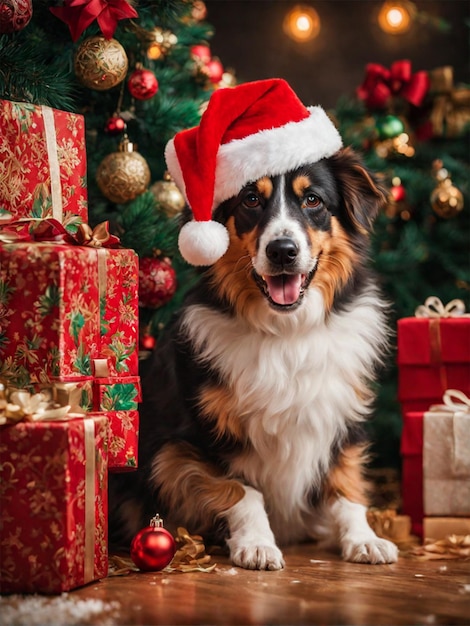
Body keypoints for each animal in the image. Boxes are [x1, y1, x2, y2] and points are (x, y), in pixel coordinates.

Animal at [108, 139, 398, 568]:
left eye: (313, 199)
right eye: (250, 200)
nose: (283, 251)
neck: (287, 331)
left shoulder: (343, 414)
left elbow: (345, 484)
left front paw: (363, 538)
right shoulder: (191, 440)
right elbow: (243, 492)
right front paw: (257, 544)